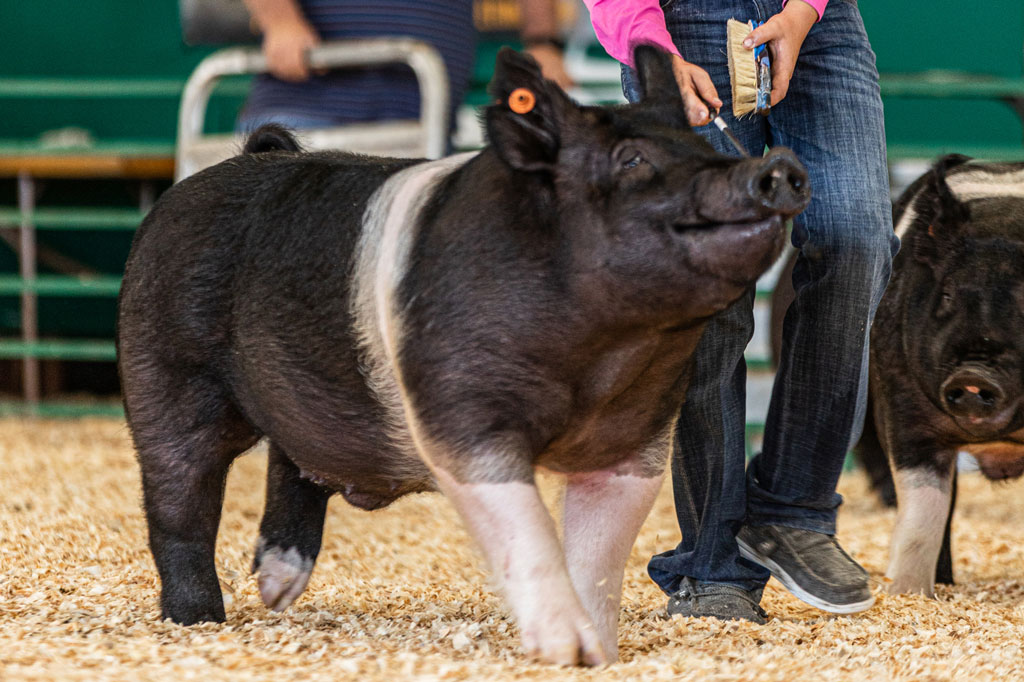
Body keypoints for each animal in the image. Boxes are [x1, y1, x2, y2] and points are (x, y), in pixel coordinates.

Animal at [117, 46, 809, 665]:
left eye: (706, 148)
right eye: (631, 159)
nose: (777, 168)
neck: (598, 364)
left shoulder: (637, 437)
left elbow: (598, 557)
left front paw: (599, 651)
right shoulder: (461, 414)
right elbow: (528, 529)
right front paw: (565, 649)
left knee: (294, 458)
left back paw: (277, 590)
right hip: (165, 373)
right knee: (178, 497)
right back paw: (199, 620)